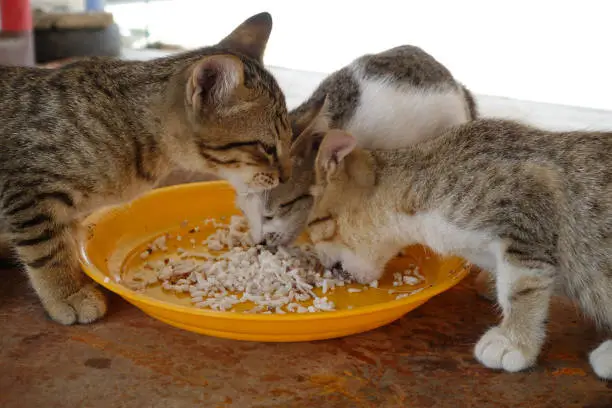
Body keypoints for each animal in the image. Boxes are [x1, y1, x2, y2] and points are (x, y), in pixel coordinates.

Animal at [306, 122, 612, 380]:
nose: (321, 263)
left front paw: (514, 340)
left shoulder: (528, 206)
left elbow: (519, 288)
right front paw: (490, 284)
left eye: (313, 226)